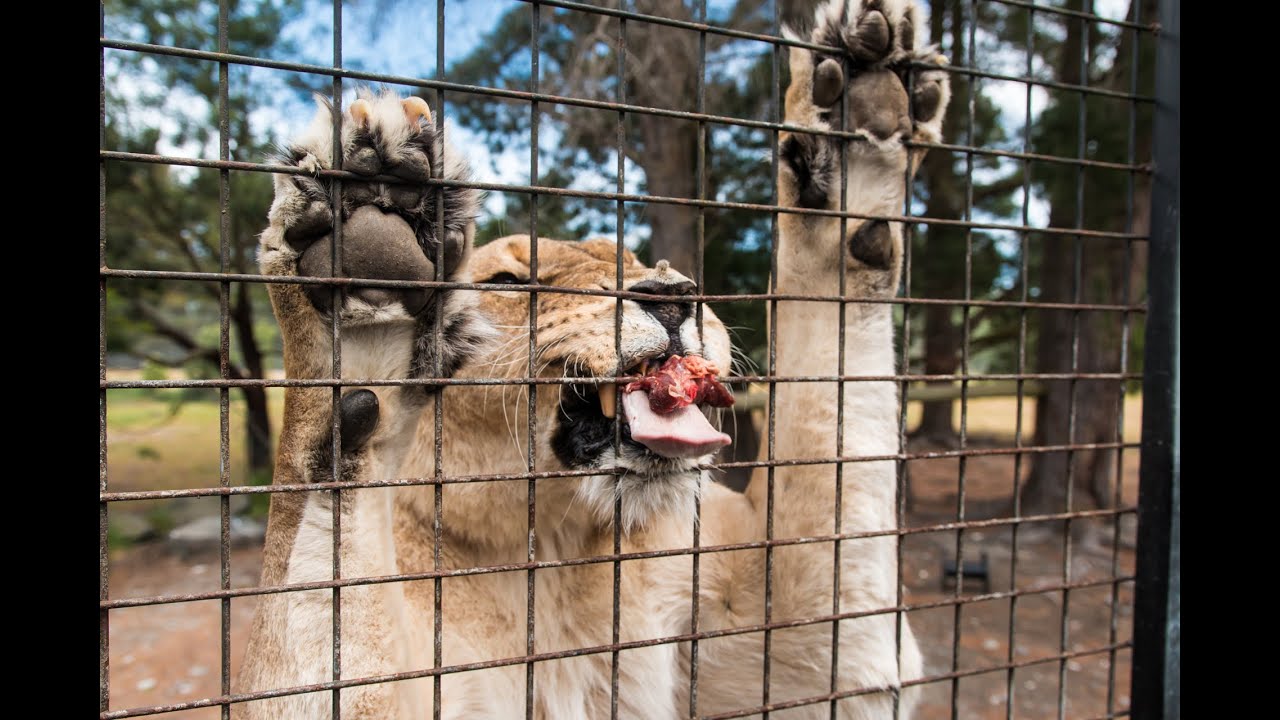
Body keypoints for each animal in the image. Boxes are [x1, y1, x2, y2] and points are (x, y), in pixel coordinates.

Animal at [235, 1, 949, 717]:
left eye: (634, 260)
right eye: (506, 283)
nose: (672, 296)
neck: (556, 551)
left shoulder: (821, 651)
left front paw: (861, 115)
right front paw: (356, 287)